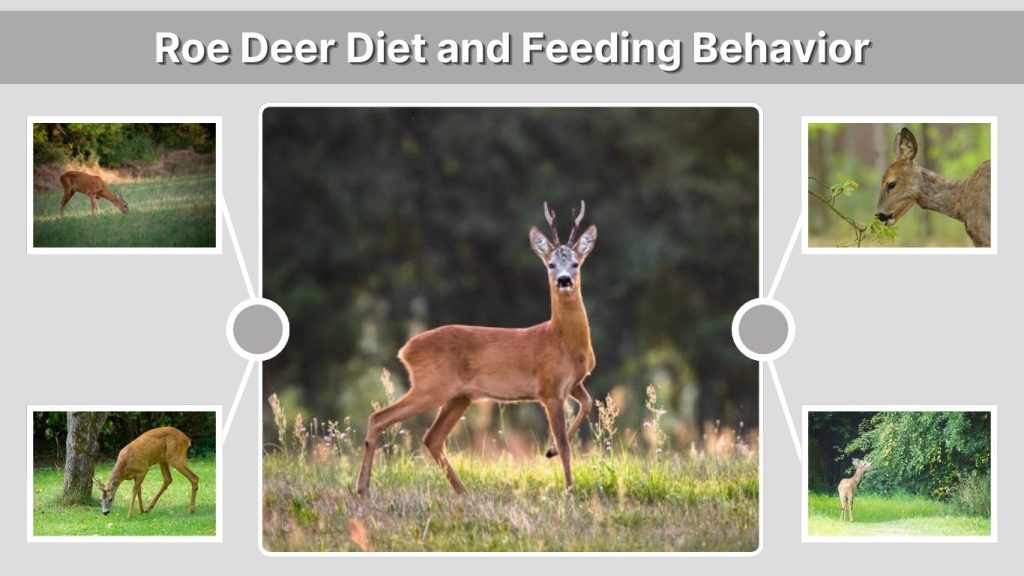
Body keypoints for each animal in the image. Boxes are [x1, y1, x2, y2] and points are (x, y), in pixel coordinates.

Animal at [356, 201, 598, 498]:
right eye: (551, 264)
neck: (563, 339)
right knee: (379, 417)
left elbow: (588, 403)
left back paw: (462, 491)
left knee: (432, 437)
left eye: (575, 263)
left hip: (460, 396)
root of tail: (405, 350)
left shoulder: (573, 383)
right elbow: (565, 444)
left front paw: (550, 452)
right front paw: (570, 490)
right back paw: (363, 490)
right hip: (431, 386)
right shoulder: (550, 389)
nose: (564, 280)